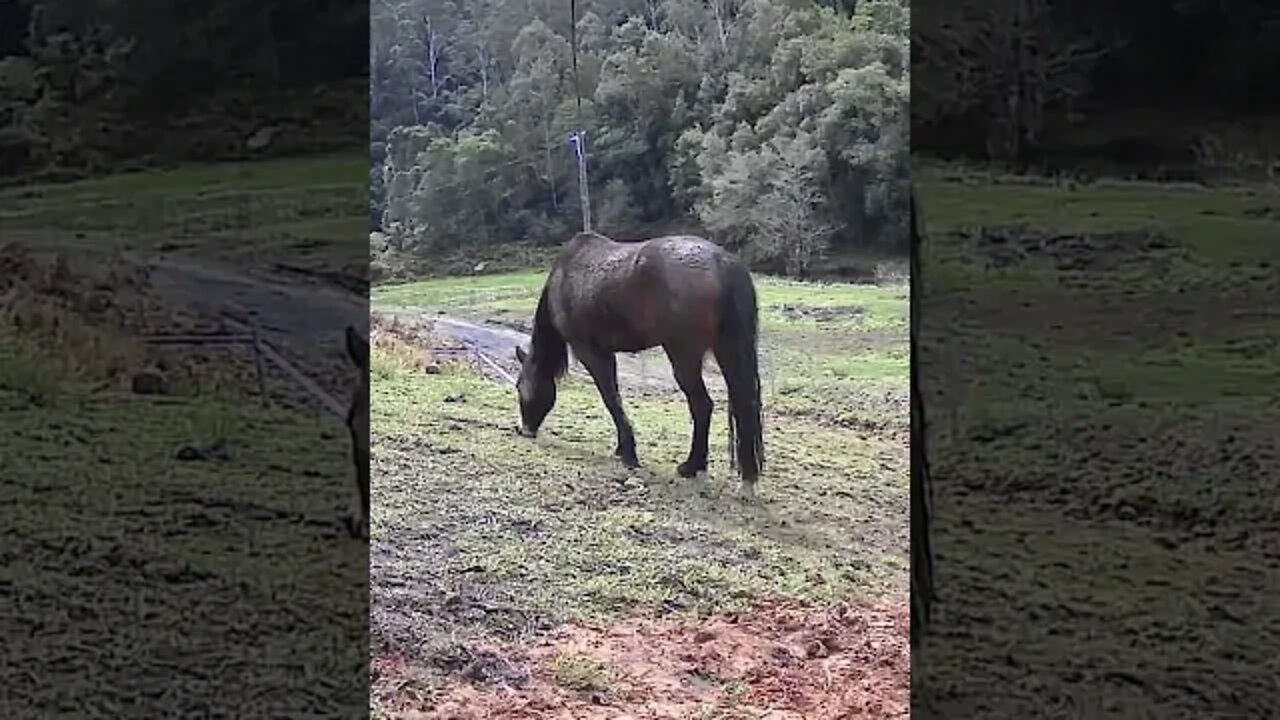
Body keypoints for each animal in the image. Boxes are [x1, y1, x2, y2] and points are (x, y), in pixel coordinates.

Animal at [513, 231, 764, 497]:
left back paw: (691, 466)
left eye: (519, 387)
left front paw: (628, 452)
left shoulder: (591, 351)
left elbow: (611, 399)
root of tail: (722, 262)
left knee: (702, 405)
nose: (523, 429)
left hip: (684, 356)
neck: (565, 277)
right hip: (726, 352)